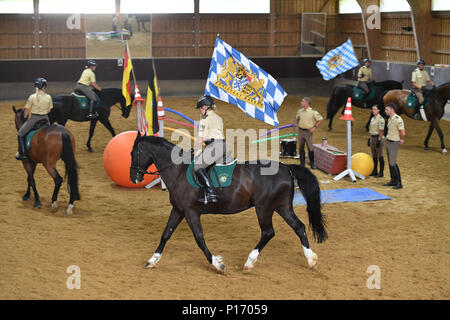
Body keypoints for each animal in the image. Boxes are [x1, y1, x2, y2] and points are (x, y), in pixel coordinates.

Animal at [129, 134, 326, 274]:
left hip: (264, 208)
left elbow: (199, 239)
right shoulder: (179, 210)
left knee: (268, 232)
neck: (178, 171)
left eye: (133, 153)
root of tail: (286, 168)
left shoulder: (191, 212)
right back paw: (311, 260)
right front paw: (152, 260)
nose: (133, 178)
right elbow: (166, 234)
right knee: (299, 227)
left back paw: (249, 262)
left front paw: (218, 265)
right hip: (282, 207)